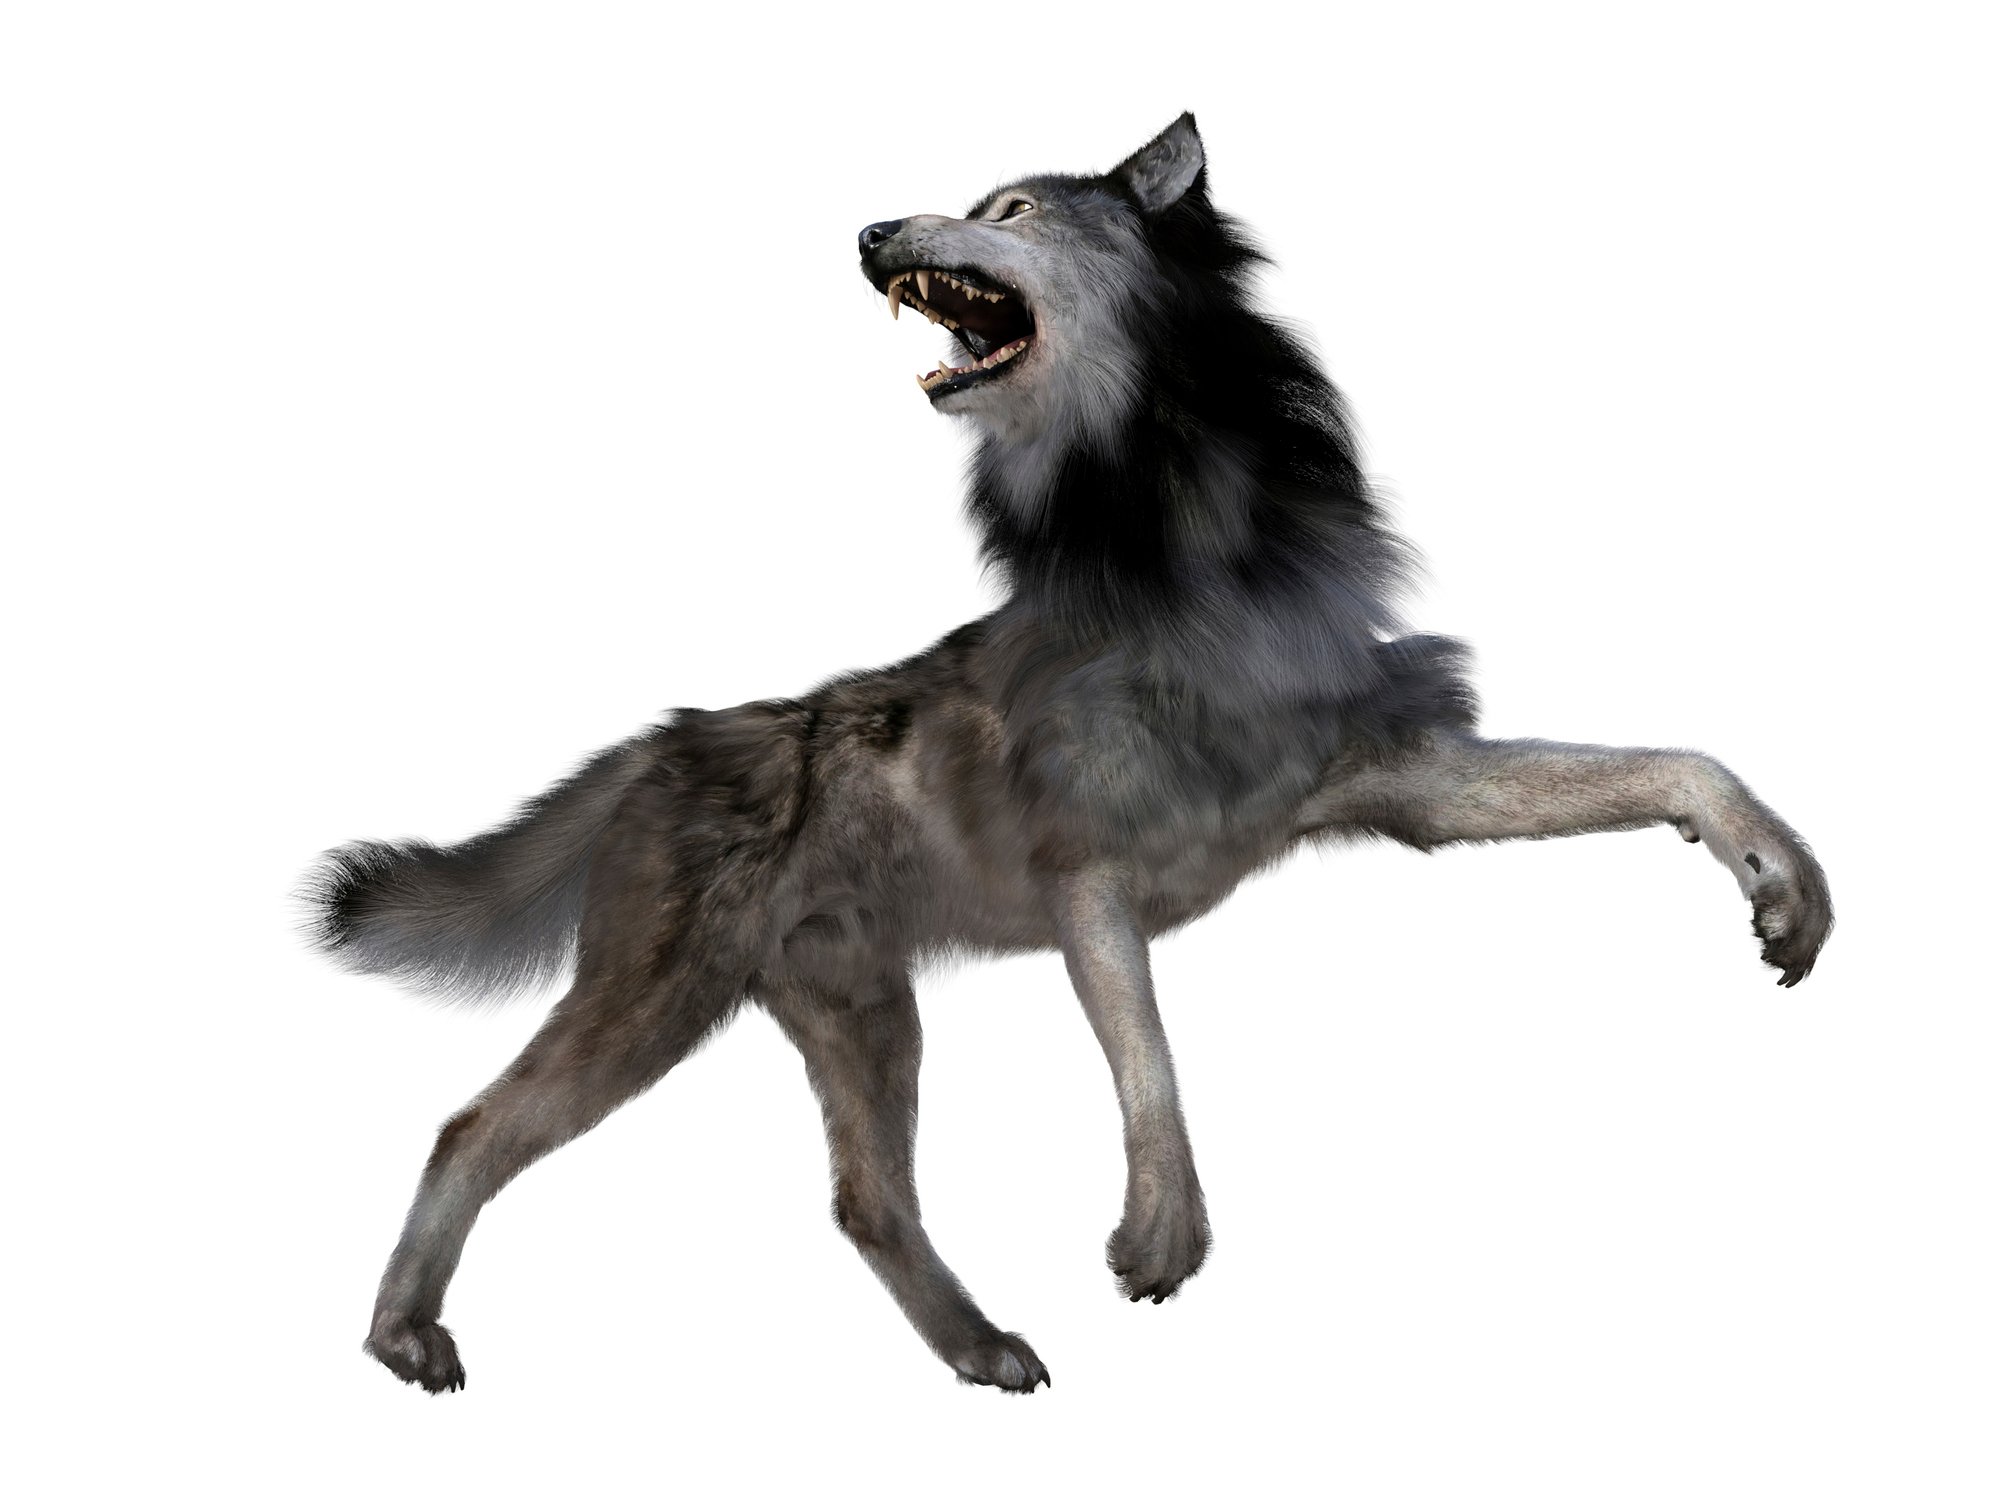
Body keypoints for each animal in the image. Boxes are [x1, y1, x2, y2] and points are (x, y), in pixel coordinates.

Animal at [309, 114, 1833, 1395]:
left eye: (1012, 210)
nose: (868, 231)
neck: (1184, 550)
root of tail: (658, 741)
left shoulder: (1409, 782)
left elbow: (1680, 762)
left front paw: (1783, 886)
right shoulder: (1086, 879)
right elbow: (1152, 1063)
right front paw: (1162, 1234)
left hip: (864, 1018)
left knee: (866, 1202)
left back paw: (980, 1350)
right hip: (655, 1007)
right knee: (472, 1131)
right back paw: (402, 1336)